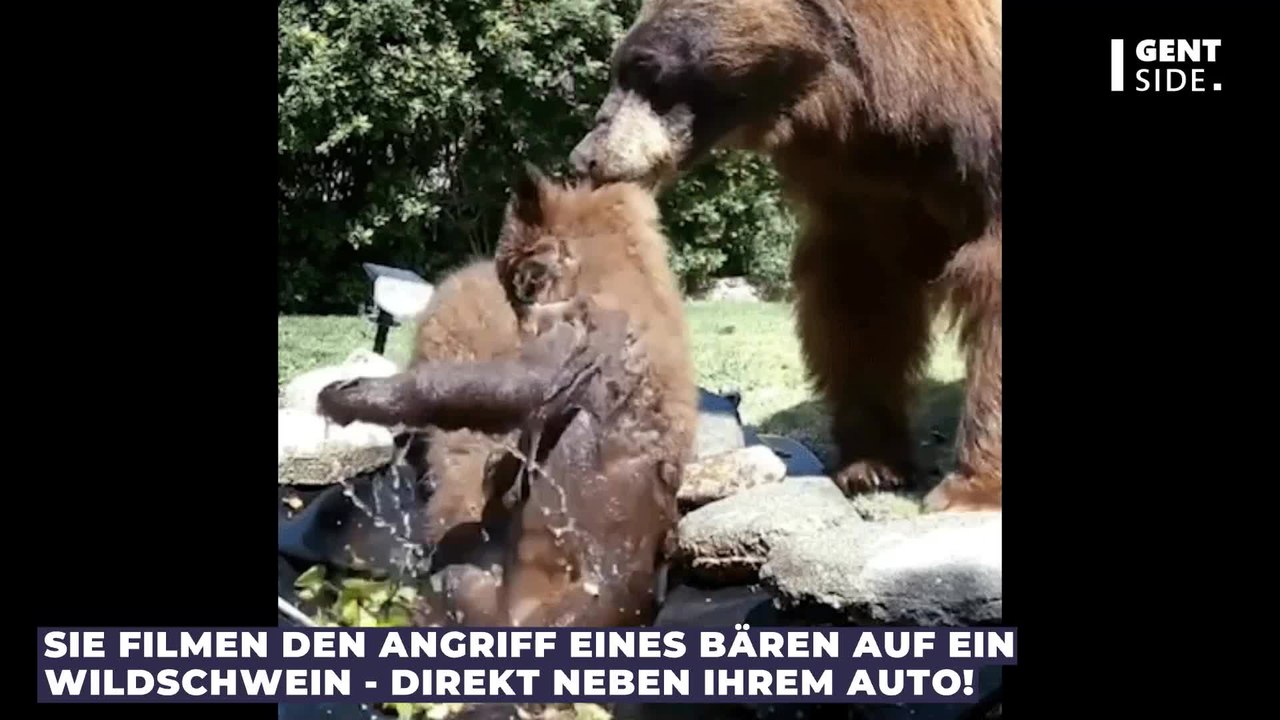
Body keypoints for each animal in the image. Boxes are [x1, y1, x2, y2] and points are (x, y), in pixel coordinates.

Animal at [316, 163, 698, 626]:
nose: (517, 317)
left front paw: (351, 397)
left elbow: (467, 389)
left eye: (517, 283)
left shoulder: (565, 345)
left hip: (469, 585)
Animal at [568, 0, 1002, 512]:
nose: (585, 158)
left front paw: (969, 487)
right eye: (621, 69)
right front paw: (870, 464)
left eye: (645, 68)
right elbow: (862, 298)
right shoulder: (866, 180)